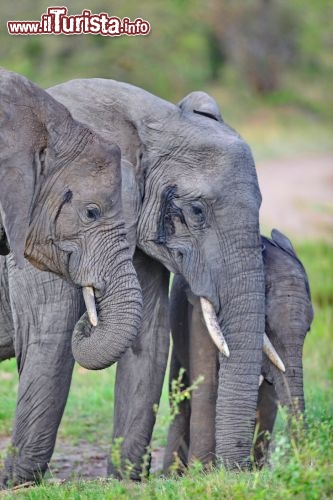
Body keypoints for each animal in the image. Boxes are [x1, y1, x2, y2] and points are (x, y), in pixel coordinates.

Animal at [162, 229, 312, 472]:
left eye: (308, 329)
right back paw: (173, 474)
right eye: (266, 324)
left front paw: (254, 472)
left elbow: (269, 396)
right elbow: (208, 383)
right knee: (180, 399)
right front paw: (203, 473)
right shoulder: (201, 312)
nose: (305, 463)